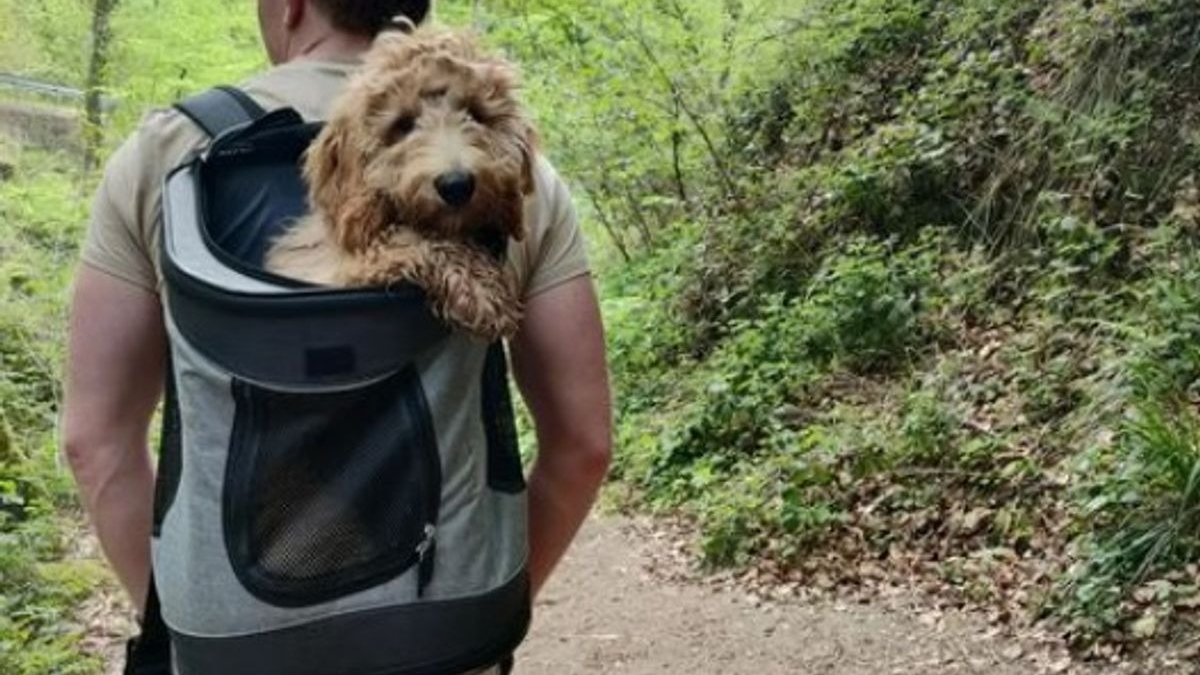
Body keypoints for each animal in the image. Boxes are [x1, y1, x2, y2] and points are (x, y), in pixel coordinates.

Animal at [272, 19, 540, 338]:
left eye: (475, 114)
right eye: (403, 124)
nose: (457, 185)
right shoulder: (345, 267)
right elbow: (410, 238)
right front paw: (480, 291)